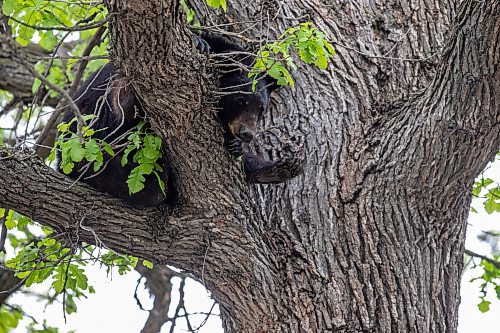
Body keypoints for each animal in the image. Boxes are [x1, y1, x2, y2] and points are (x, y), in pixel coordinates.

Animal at [56, 33, 302, 205]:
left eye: (261, 109)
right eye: (241, 100)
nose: (247, 134)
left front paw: (236, 145)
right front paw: (199, 43)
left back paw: (281, 168)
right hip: (91, 150)